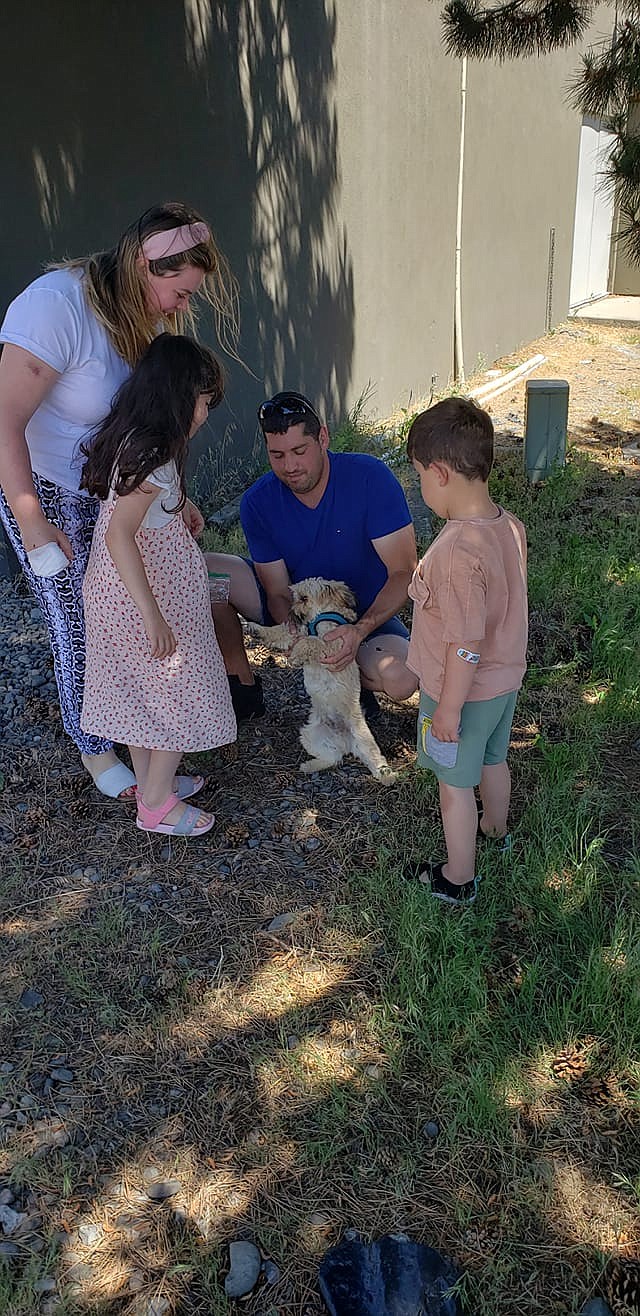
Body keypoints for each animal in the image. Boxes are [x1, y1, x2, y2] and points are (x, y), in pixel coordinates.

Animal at [247, 576, 397, 779]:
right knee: (333, 758)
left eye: (303, 598)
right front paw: (255, 628)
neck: (320, 618)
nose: (291, 613)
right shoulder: (295, 633)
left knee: (373, 757)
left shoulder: (335, 646)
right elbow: (279, 632)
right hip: (309, 734)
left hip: (362, 738)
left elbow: (312, 641)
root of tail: (344, 740)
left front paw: (296, 655)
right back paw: (309, 766)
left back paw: (387, 776)